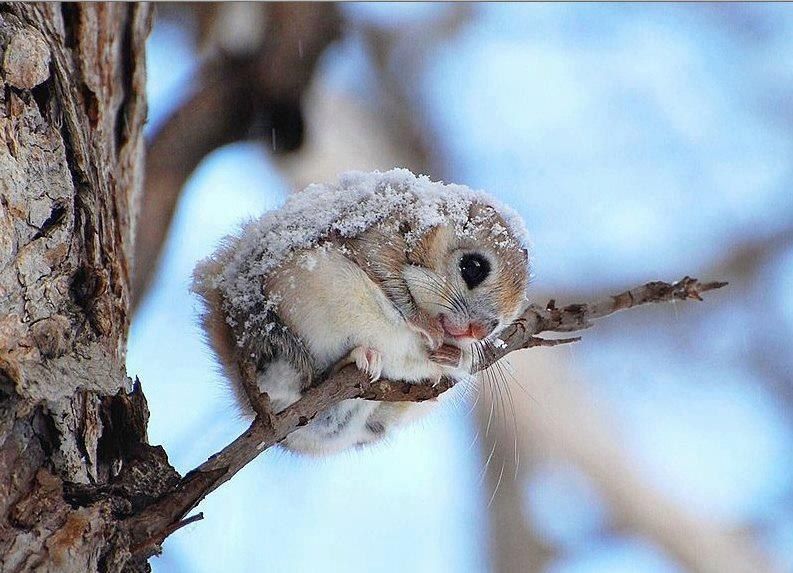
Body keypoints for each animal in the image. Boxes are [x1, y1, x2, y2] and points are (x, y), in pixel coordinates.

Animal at [193, 168, 528, 454]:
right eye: (473, 267)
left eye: (504, 320)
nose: (480, 331)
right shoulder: (376, 239)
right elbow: (392, 284)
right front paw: (426, 326)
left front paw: (457, 355)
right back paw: (357, 358)